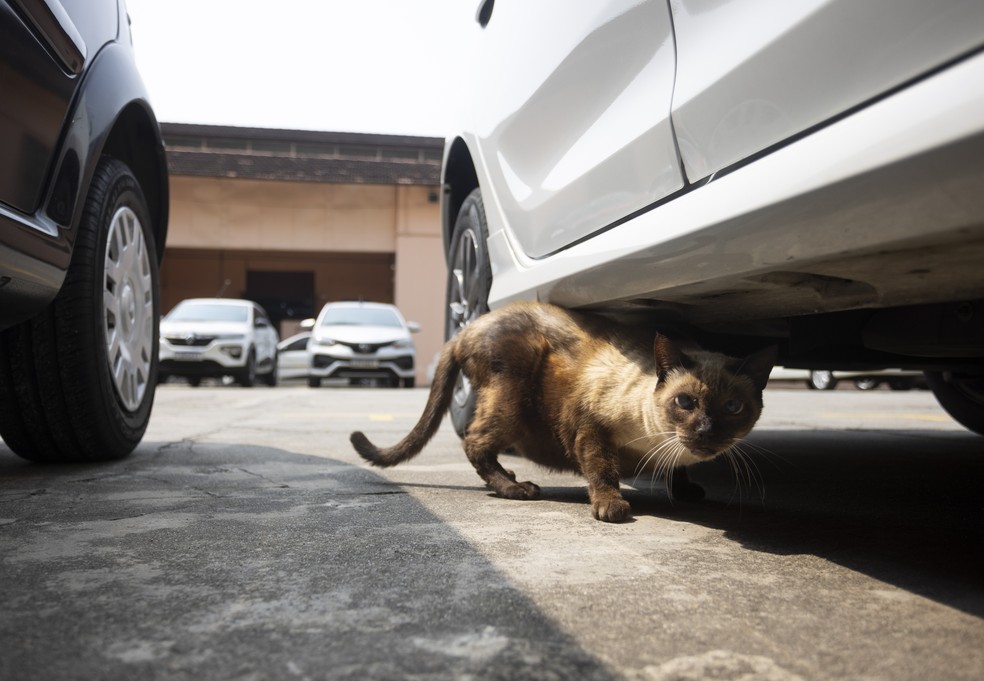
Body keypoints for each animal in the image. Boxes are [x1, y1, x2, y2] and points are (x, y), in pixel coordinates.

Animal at [352, 300, 776, 524]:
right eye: (685, 402)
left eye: (733, 407)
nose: (705, 431)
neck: (658, 442)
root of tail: (465, 329)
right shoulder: (590, 425)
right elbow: (602, 470)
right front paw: (612, 507)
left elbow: (678, 470)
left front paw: (686, 488)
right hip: (512, 397)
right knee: (475, 441)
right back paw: (515, 488)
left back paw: (509, 477)